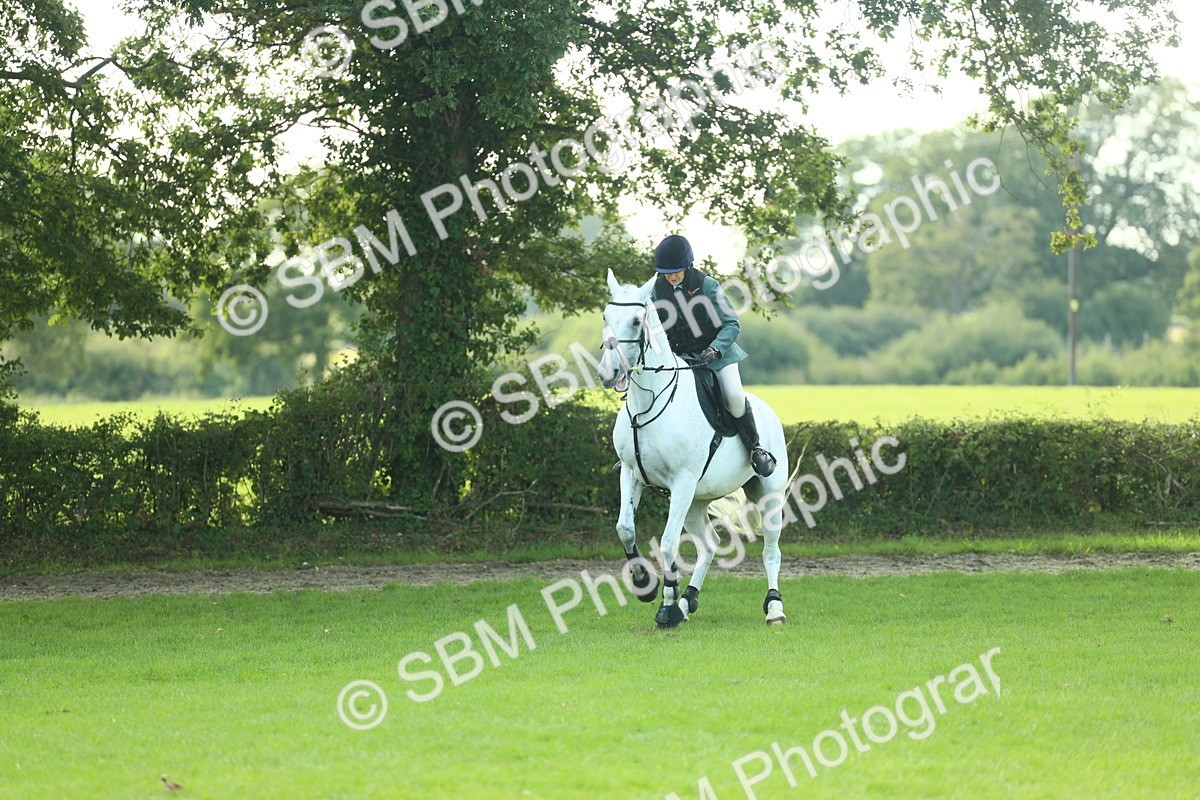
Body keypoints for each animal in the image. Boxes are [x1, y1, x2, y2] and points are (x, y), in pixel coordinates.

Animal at [596, 269, 790, 627]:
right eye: (605, 316)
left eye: (635, 321)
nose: (608, 373)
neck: (648, 402)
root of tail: (769, 411)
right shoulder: (630, 473)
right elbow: (625, 529)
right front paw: (645, 586)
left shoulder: (682, 481)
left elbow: (668, 543)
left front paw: (666, 605)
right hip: (696, 503)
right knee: (709, 546)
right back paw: (688, 601)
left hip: (767, 493)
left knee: (771, 550)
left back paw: (774, 608)